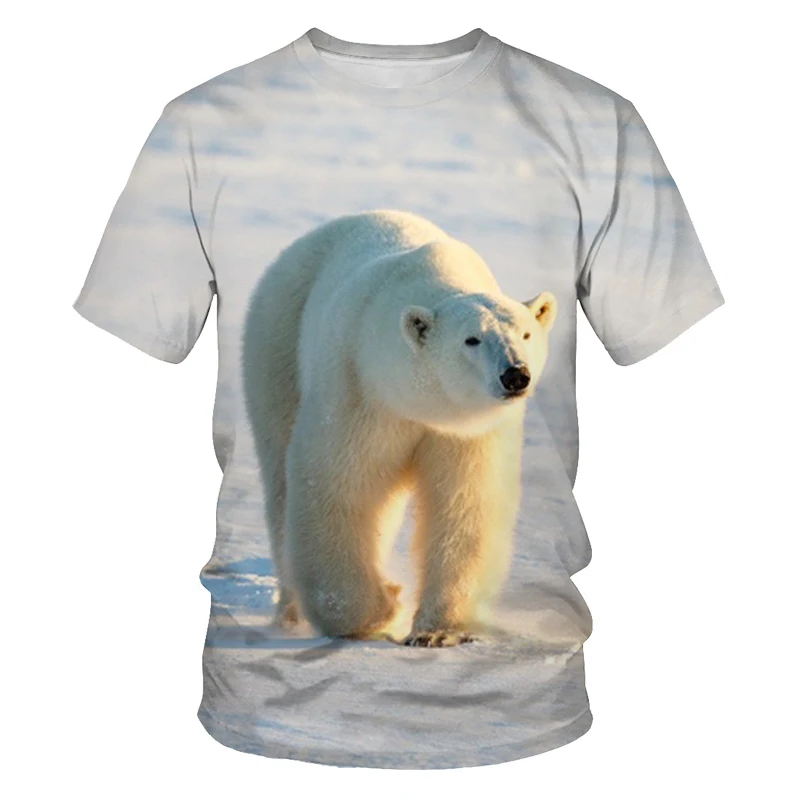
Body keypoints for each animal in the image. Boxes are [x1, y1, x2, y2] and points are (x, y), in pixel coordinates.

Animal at [242, 210, 556, 647]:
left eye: (525, 333)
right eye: (471, 339)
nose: (515, 375)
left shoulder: (468, 432)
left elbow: (465, 503)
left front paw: (436, 631)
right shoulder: (360, 390)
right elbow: (337, 485)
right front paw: (379, 610)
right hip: (278, 343)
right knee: (279, 479)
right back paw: (289, 612)